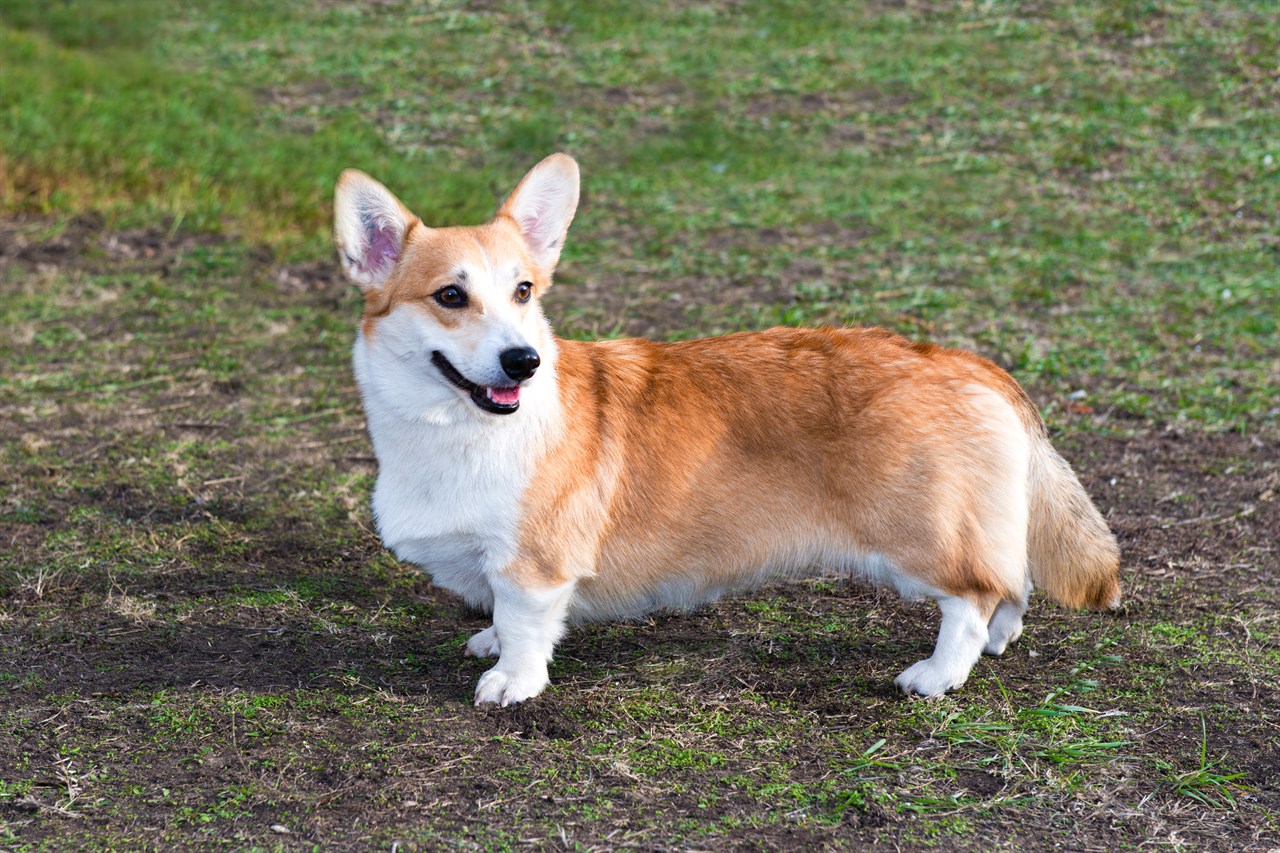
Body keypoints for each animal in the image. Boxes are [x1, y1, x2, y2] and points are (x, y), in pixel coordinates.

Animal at [330, 153, 1121, 701]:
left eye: (524, 291)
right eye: (450, 296)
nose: (523, 362)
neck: (453, 431)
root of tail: (969, 364)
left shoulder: (535, 563)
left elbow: (525, 623)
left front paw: (511, 681)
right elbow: (499, 614)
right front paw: (488, 641)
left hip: (923, 535)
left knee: (975, 595)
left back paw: (935, 673)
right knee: (1013, 582)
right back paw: (997, 644)